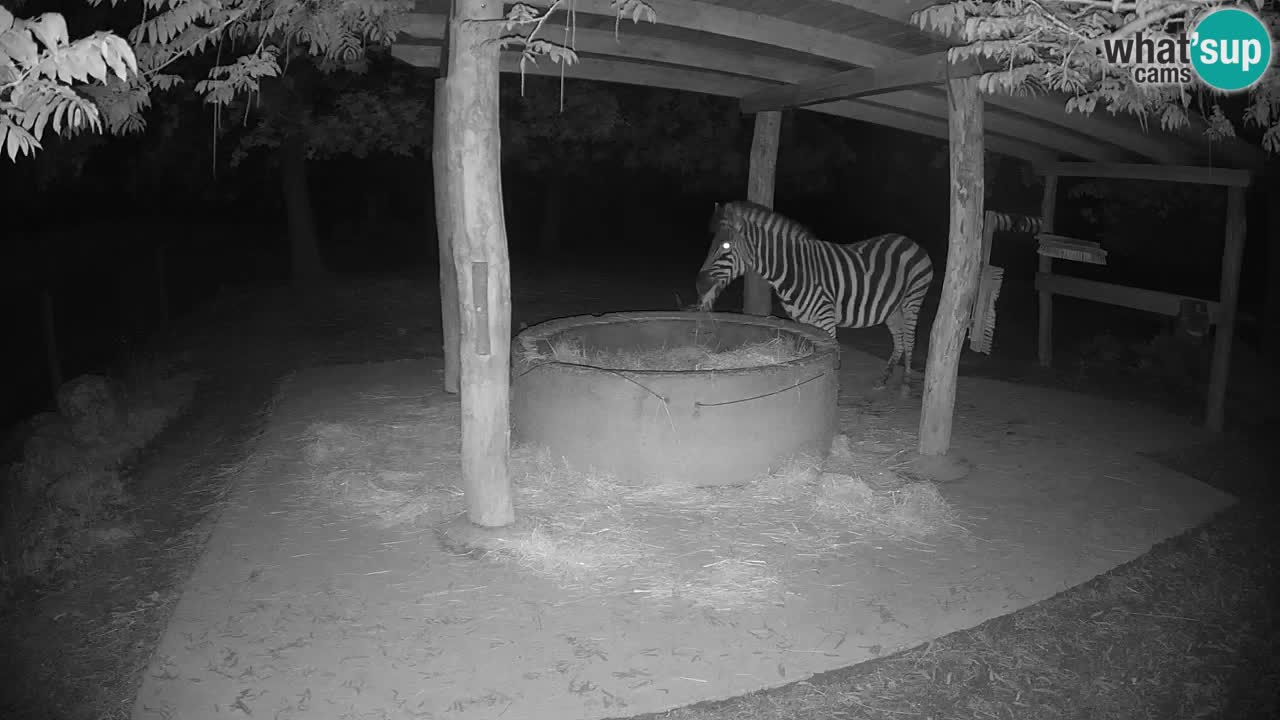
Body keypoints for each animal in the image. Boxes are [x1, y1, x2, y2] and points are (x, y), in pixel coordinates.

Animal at [694, 201, 935, 396]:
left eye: (725, 246)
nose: (699, 286)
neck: (794, 271)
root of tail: (909, 241)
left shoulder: (826, 319)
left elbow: (833, 358)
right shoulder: (803, 321)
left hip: (912, 299)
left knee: (909, 340)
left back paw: (905, 384)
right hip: (892, 308)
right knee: (899, 340)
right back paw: (884, 379)